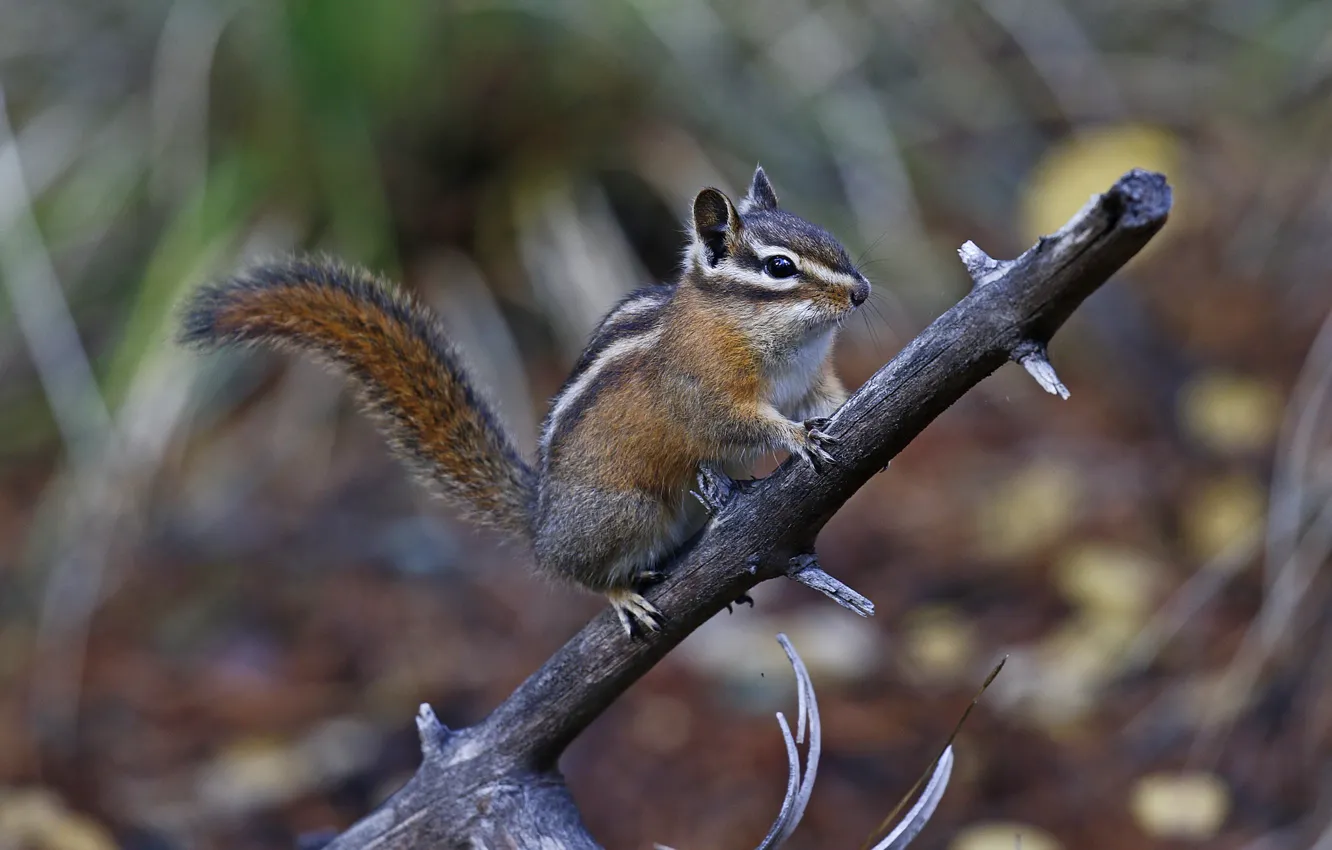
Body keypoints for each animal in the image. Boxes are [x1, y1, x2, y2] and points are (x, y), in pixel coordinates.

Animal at [179, 166, 870, 636]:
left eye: (829, 237)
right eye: (779, 267)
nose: (861, 292)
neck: (770, 338)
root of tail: (541, 523)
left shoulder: (811, 379)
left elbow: (827, 395)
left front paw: (841, 411)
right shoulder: (703, 390)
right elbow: (739, 422)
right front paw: (798, 437)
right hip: (627, 512)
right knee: (580, 573)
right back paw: (619, 594)